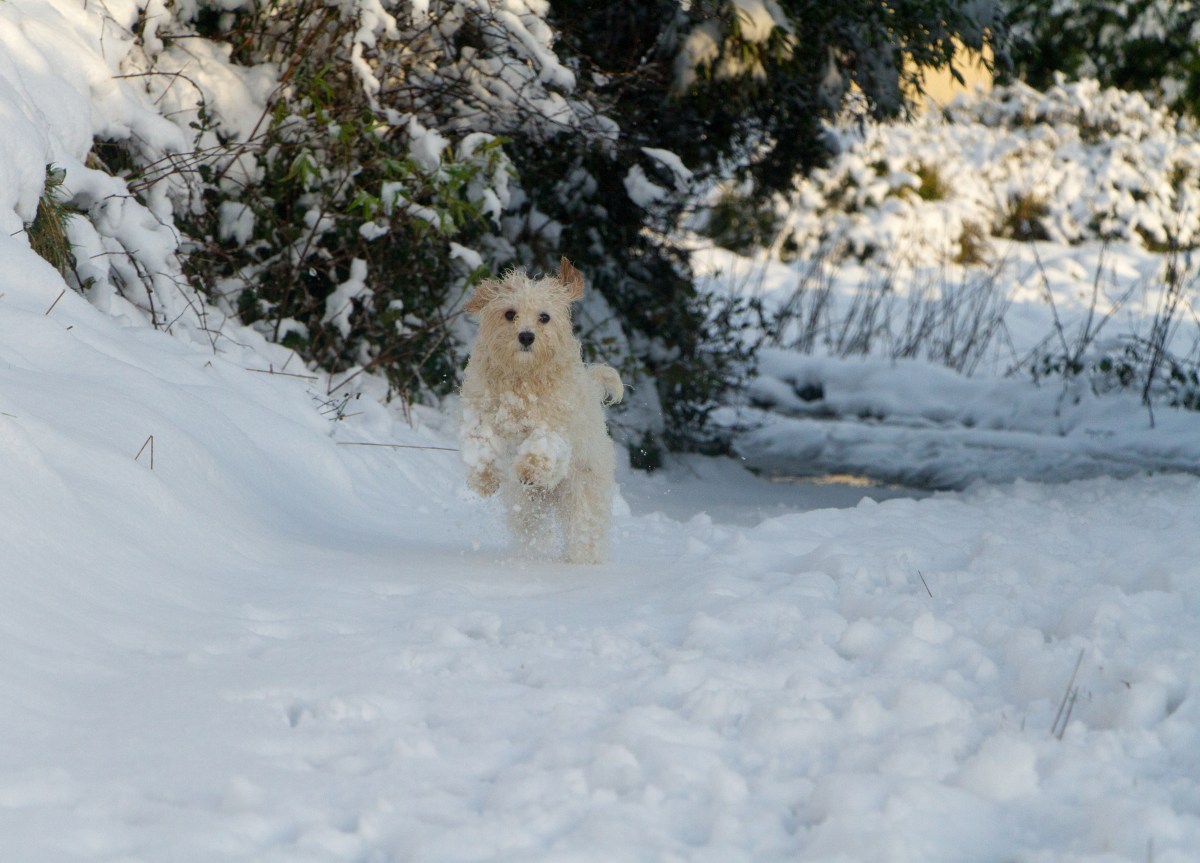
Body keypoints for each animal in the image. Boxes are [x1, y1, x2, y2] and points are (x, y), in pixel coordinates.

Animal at [460, 258, 628, 566]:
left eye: (545, 317)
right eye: (510, 313)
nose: (526, 336)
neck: (523, 379)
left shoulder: (556, 424)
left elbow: (543, 444)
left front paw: (530, 468)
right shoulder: (480, 413)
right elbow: (481, 443)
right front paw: (484, 480)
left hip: (582, 495)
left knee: (584, 533)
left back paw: (582, 561)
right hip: (526, 506)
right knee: (531, 529)